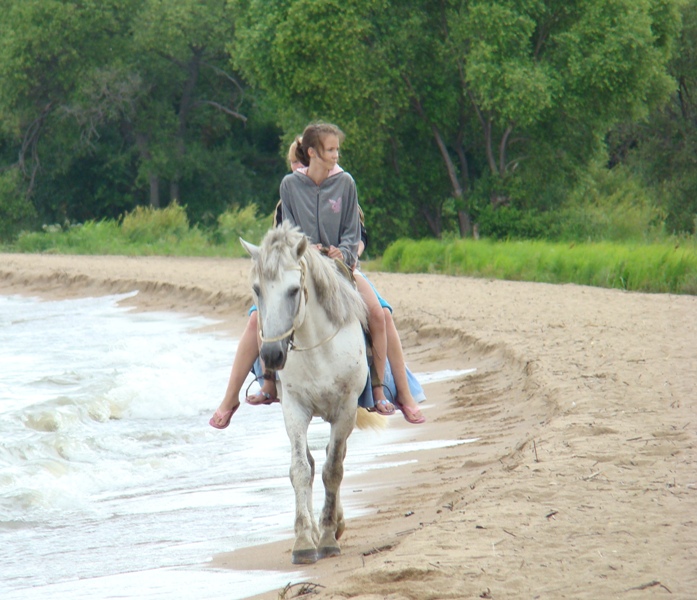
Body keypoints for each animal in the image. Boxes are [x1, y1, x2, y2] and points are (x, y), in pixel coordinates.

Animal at [241, 223, 384, 564]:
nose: (271, 355)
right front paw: (305, 540)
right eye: (257, 289)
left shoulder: (345, 410)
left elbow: (334, 470)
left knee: (336, 458)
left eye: (294, 290)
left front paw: (329, 537)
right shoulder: (294, 408)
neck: (317, 346)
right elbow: (300, 469)